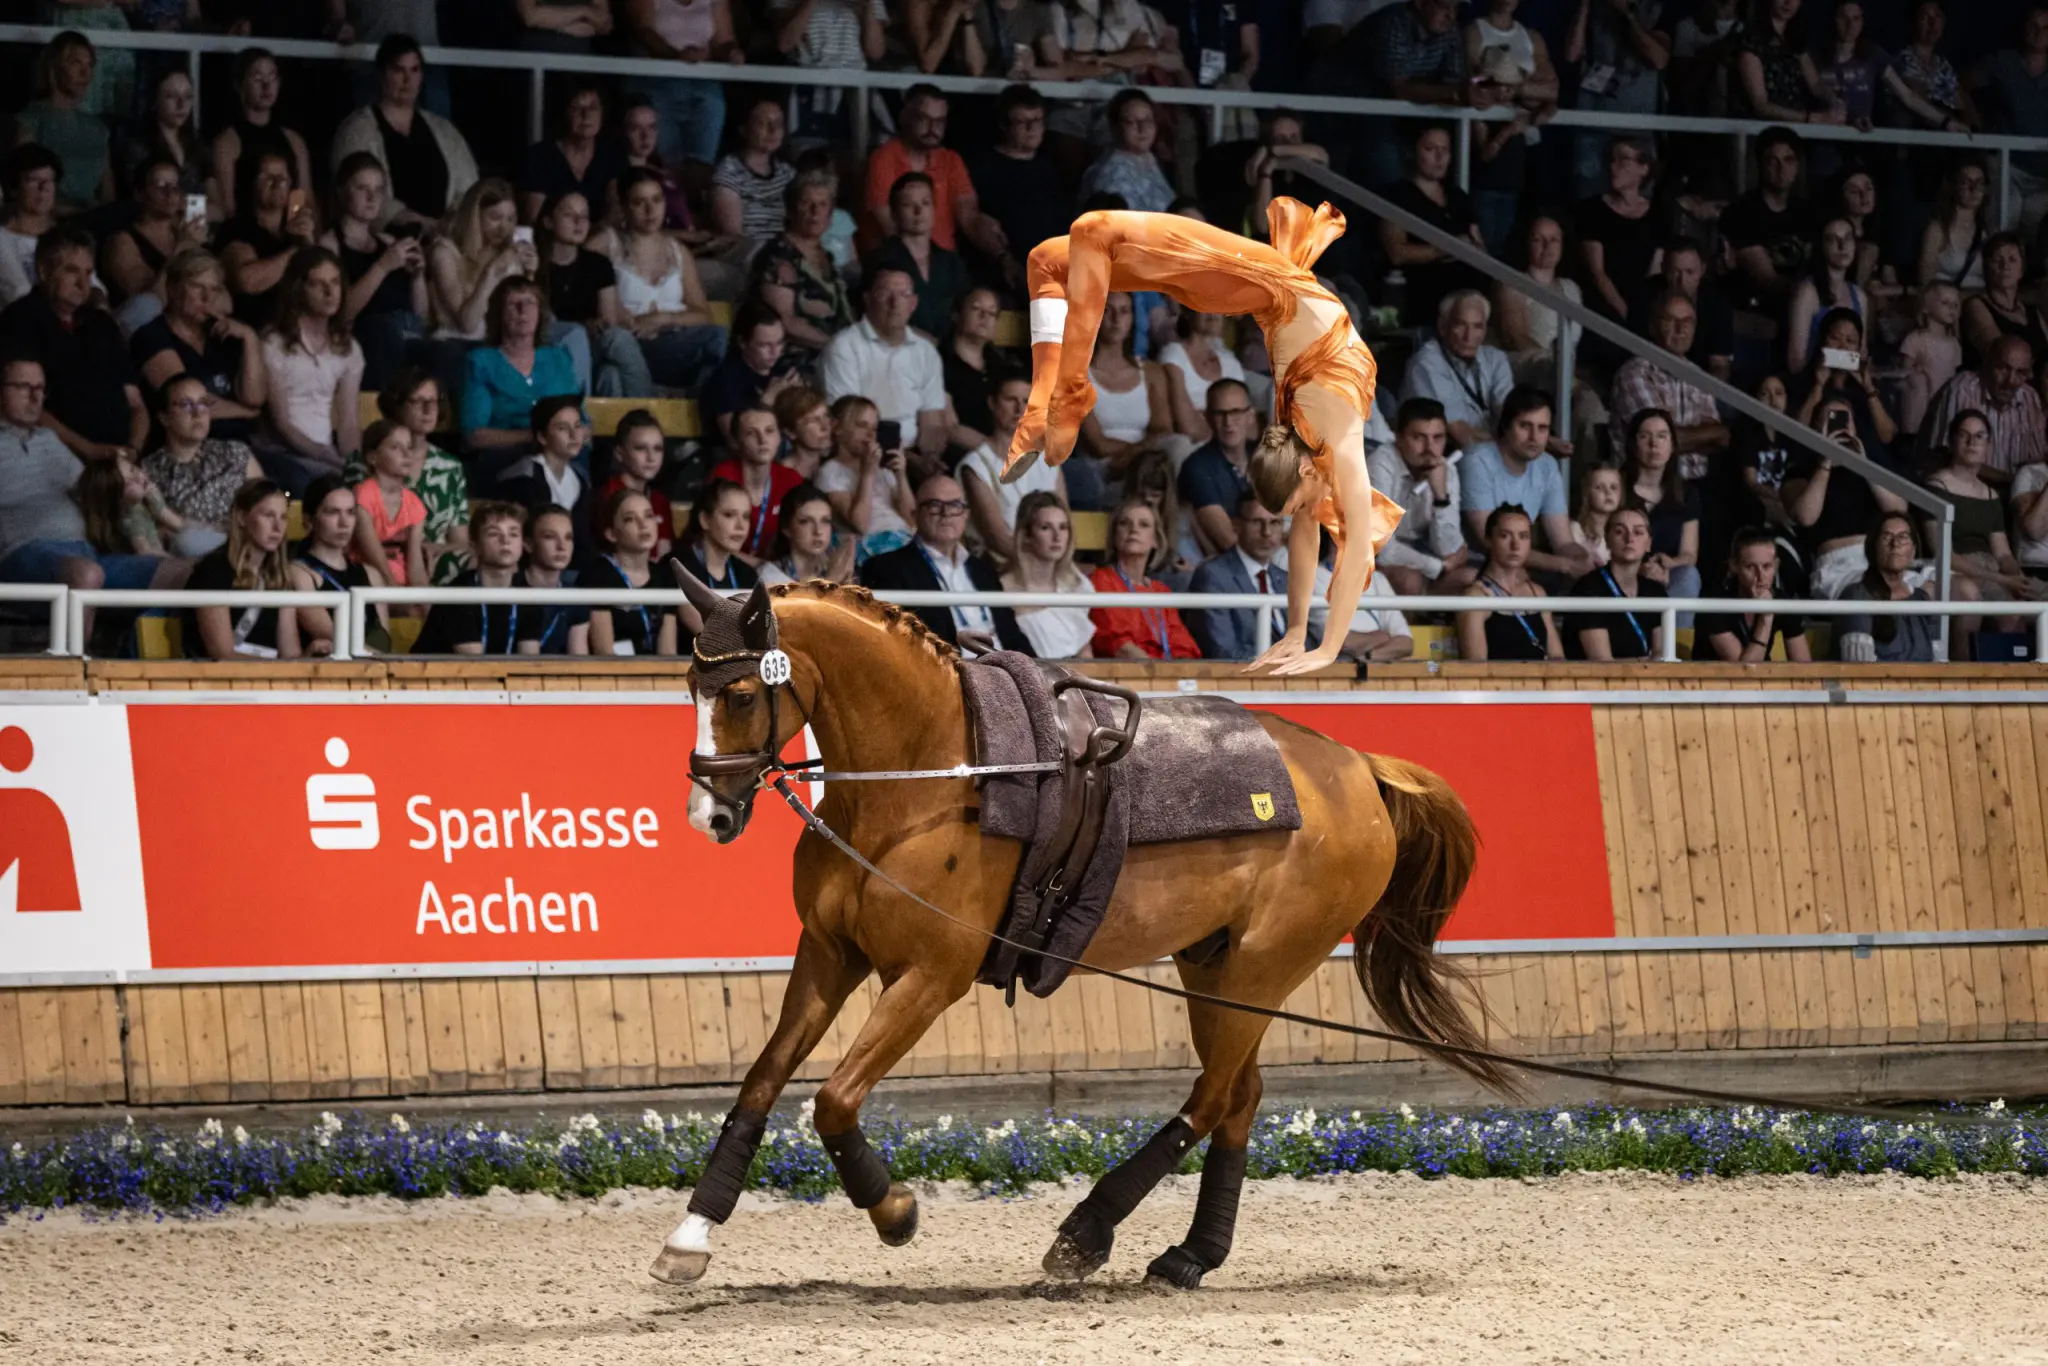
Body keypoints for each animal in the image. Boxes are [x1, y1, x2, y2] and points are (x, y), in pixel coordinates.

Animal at [654, 572, 1509, 1290]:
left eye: (737, 692)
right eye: (691, 685)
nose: (709, 814)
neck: (933, 777)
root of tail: (1359, 768)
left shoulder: (930, 977)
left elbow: (832, 1100)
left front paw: (894, 1211)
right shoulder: (830, 954)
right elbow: (762, 1082)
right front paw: (690, 1235)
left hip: (1264, 967)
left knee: (1211, 1096)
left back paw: (1087, 1232)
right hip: (1215, 966)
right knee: (1239, 1095)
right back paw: (1190, 1256)